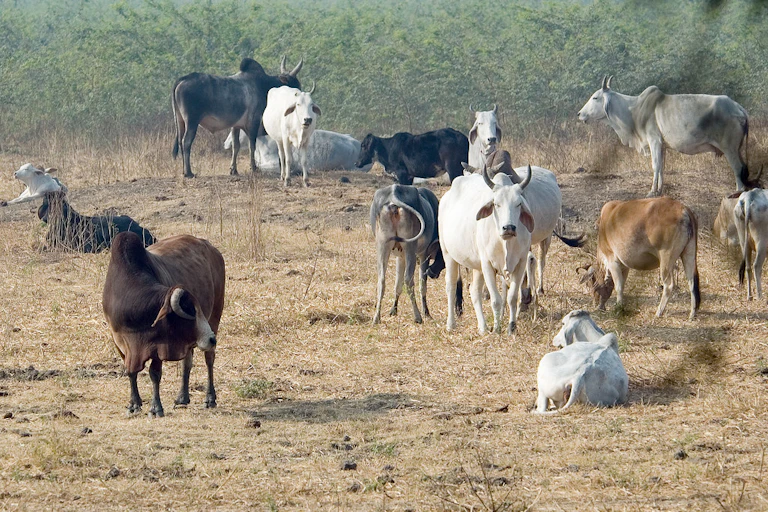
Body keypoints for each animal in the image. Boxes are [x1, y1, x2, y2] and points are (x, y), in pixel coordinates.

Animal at [102, 232, 225, 417]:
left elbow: (154, 374)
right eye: (190, 310)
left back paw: (210, 398)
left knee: (209, 359)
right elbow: (130, 372)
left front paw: (156, 408)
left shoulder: (157, 347)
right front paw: (134, 403)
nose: (211, 338)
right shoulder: (119, 341)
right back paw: (183, 397)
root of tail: (211, 248)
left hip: (215, 317)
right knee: (187, 362)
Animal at [172, 56, 302, 178]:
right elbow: (252, 146)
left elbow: (236, 146)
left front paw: (233, 170)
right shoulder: (253, 122)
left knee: (180, 142)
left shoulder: (236, 126)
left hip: (180, 121)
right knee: (186, 142)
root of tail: (182, 79)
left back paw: (184, 171)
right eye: (295, 87)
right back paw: (189, 172)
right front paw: (253, 168)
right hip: (191, 121)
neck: (265, 86)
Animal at [370, 184, 441, 324]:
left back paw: (376, 318)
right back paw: (418, 316)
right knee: (409, 280)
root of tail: (394, 195)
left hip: (383, 246)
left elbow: (398, 284)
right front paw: (426, 313)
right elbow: (422, 285)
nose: (433, 274)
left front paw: (393, 310)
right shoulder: (424, 255)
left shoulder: (400, 257)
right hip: (410, 249)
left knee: (381, 281)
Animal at [439, 164, 535, 335]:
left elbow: (512, 297)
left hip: (477, 266)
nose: (509, 227)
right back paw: (451, 324)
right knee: (450, 286)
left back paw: (482, 327)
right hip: (448, 255)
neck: (505, 242)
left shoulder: (520, 263)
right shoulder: (488, 265)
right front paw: (497, 329)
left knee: (474, 291)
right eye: (496, 204)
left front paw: (511, 328)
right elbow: (496, 300)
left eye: (518, 204)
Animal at [578, 76, 751, 196]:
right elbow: (662, 167)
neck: (634, 110)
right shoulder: (662, 146)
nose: (580, 114)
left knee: (738, 167)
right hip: (737, 149)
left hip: (730, 148)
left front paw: (651, 191)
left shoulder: (653, 141)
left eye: (595, 97)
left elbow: (655, 165)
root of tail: (738, 108)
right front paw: (660, 190)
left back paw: (737, 193)